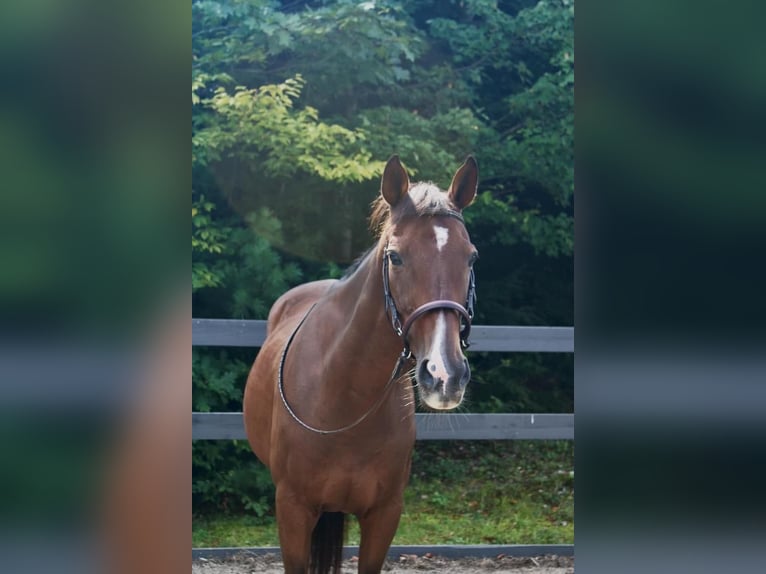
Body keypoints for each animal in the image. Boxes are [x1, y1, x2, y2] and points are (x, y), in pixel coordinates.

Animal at [243, 155, 480, 572]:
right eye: (395, 257)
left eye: (471, 256)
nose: (445, 375)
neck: (345, 395)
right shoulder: (292, 509)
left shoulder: (385, 513)